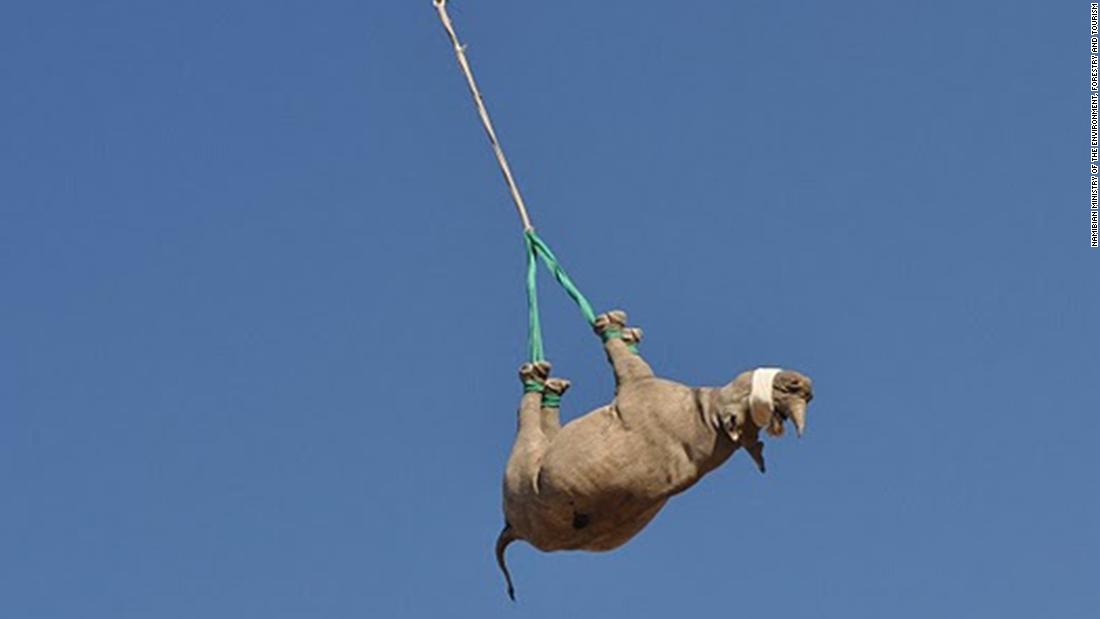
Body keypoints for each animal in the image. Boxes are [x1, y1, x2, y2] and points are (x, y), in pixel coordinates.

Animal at [495, 310, 814, 602]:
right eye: (773, 405)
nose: (801, 386)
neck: (711, 417)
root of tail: (513, 531)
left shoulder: (641, 387)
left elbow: (626, 362)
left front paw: (610, 326)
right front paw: (627, 332)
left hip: (522, 487)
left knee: (531, 438)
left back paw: (536, 378)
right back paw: (552, 386)